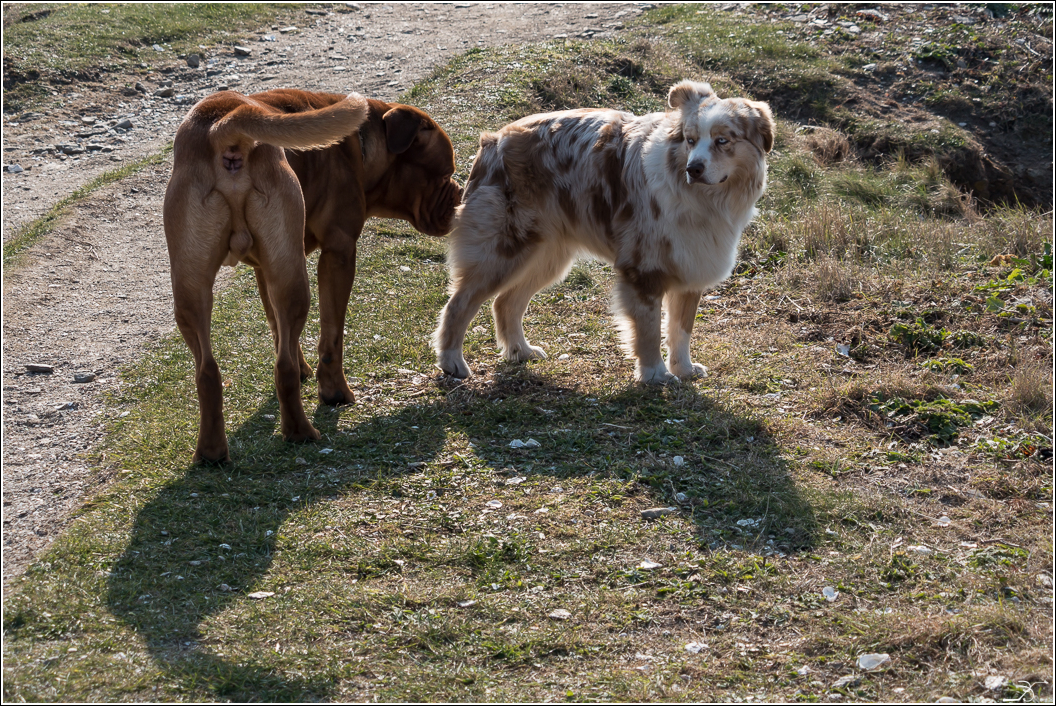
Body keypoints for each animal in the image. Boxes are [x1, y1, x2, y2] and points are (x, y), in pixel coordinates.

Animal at [164, 88, 462, 462]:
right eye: (445, 172)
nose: (461, 193)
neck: (361, 146)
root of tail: (225, 124)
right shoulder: (339, 253)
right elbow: (332, 336)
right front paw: (333, 392)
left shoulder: (267, 268)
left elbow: (280, 332)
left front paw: (303, 365)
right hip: (295, 284)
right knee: (284, 369)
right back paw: (300, 432)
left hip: (195, 288)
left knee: (208, 371)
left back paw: (211, 452)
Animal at [430, 79, 777, 382]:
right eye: (690, 140)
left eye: (722, 141)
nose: (694, 168)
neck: (702, 199)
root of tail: (492, 141)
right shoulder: (643, 269)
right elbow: (649, 329)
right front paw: (655, 374)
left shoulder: (692, 262)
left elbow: (680, 329)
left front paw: (684, 369)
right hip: (502, 251)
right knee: (458, 304)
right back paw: (452, 362)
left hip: (546, 257)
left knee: (505, 303)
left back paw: (520, 351)